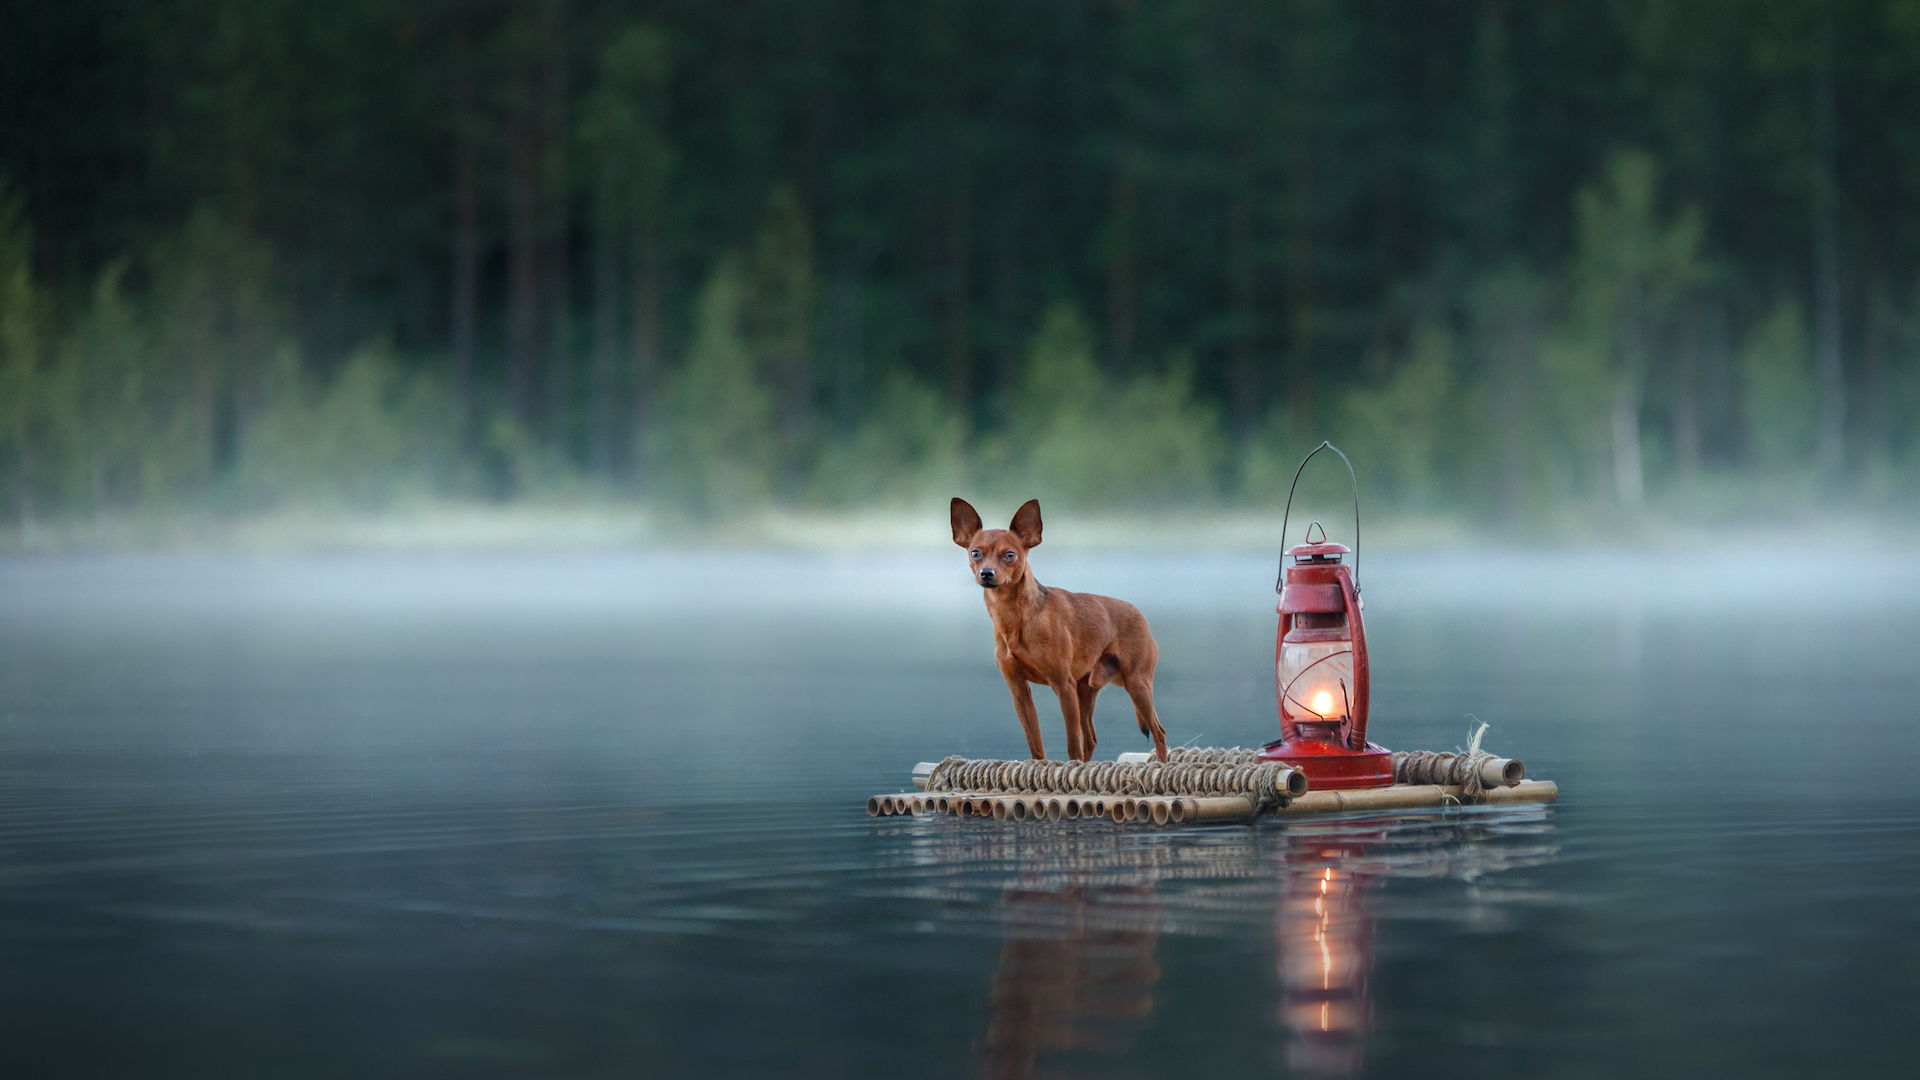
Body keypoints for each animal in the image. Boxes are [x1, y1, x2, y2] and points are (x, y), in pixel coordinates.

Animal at [956, 499, 1175, 760]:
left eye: (1009, 555)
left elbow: (1072, 746)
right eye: (975, 553)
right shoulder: (1019, 691)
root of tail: (1140, 615)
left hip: (1137, 685)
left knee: (1159, 733)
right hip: (1086, 691)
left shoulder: (1063, 686)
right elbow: (1036, 743)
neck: (1015, 618)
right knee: (1090, 739)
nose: (986, 574)